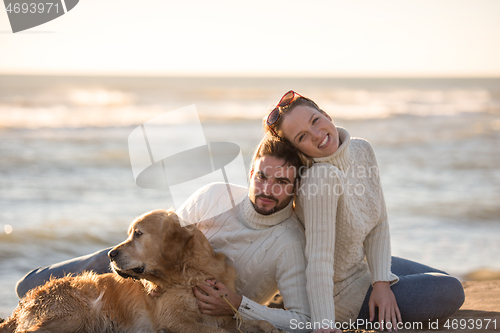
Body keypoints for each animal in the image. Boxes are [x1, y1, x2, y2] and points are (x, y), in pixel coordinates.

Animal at [0, 210, 284, 332]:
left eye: (138, 234)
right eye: (130, 233)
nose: (110, 254)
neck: (189, 275)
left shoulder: (221, 313)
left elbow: (255, 322)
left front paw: (267, 326)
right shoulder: (176, 320)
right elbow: (220, 332)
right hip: (78, 313)